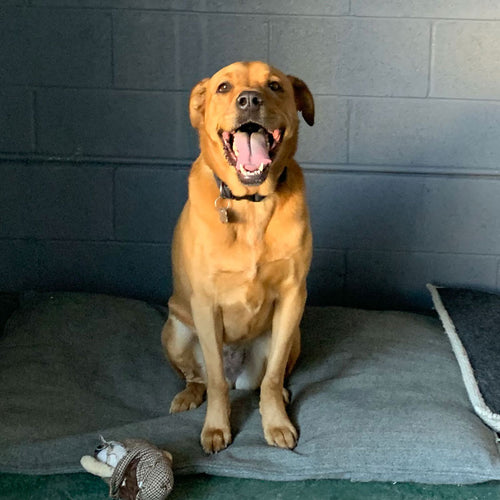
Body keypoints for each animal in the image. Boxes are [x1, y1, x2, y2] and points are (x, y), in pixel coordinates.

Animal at [161, 61, 314, 453]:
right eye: (224, 87)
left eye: (274, 85)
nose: (248, 100)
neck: (250, 203)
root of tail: (238, 376)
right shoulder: (205, 303)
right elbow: (214, 381)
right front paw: (217, 427)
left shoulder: (293, 296)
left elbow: (272, 379)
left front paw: (275, 421)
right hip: (176, 333)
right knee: (201, 378)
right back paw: (188, 395)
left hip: (294, 334)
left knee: (267, 380)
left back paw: (282, 395)